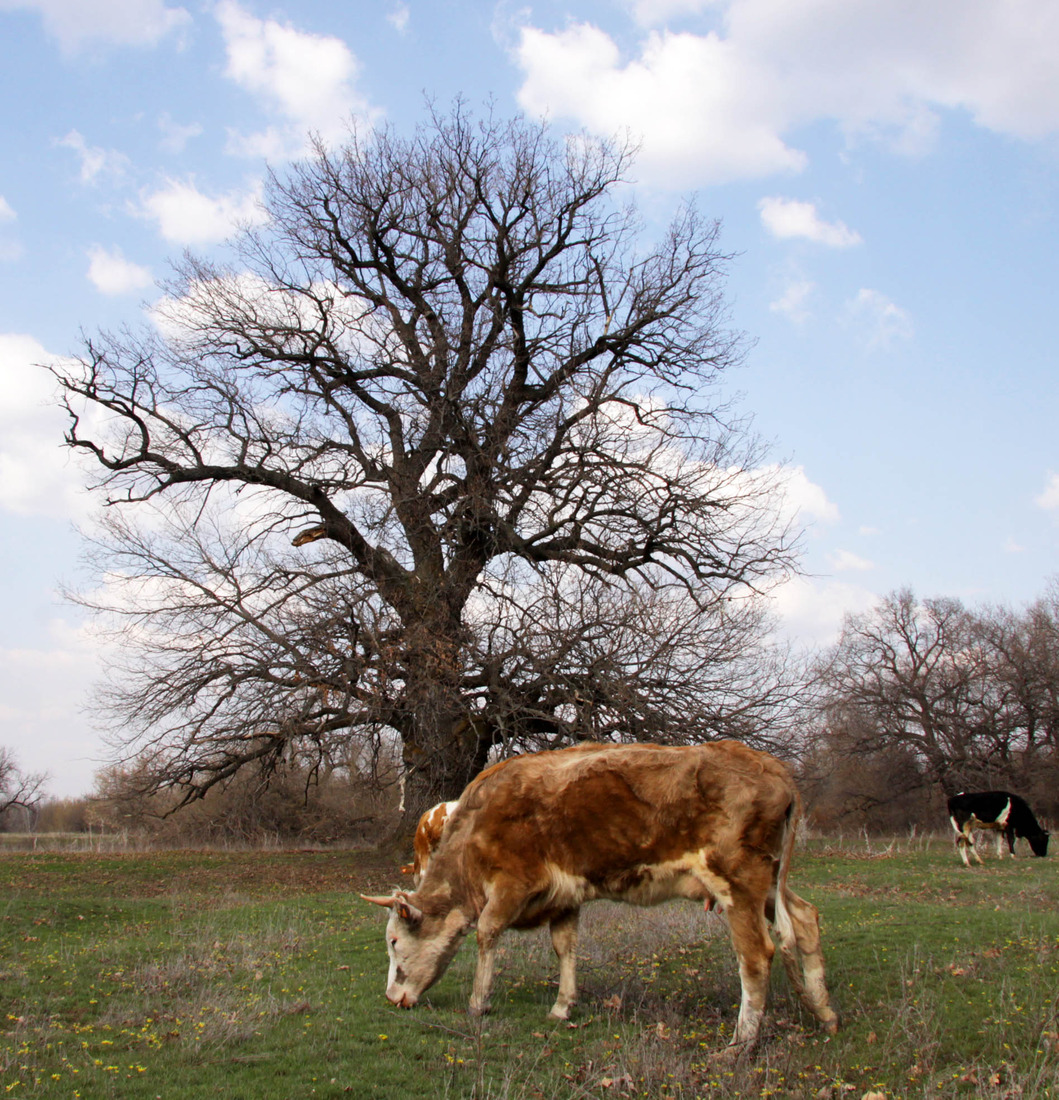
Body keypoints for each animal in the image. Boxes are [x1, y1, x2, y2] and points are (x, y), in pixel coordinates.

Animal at [365, 743, 835, 1051]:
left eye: (394, 942)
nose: (391, 998)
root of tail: (769, 765)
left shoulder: (513, 882)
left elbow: (486, 933)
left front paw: (479, 1004)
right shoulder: (564, 894)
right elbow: (566, 947)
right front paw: (562, 1007)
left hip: (739, 882)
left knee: (756, 955)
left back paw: (741, 1043)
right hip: (769, 884)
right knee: (805, 920)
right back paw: (824, 1013)